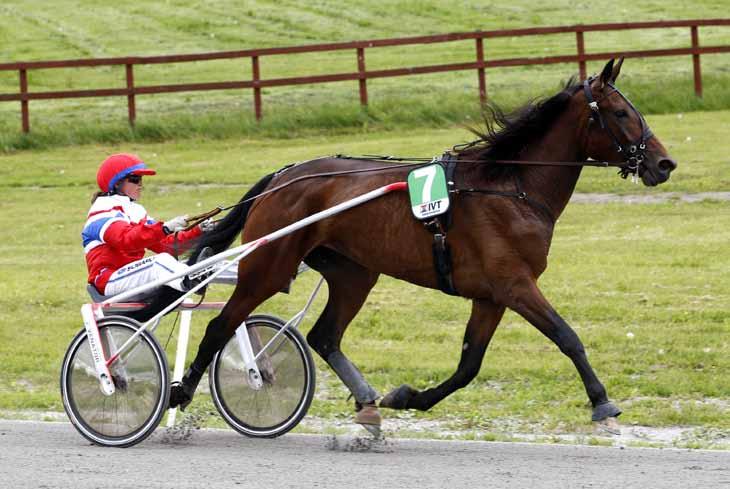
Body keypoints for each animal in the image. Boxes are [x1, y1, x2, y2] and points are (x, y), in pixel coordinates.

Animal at [171, 59, 676, 428]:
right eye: (621, 113)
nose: (664, 163)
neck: (508, 185)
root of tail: (281, 177)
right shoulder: (515, 285)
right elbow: (567, 337)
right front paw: (602, 402)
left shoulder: (490, 296)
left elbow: (469, 365)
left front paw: (408, 397)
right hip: (268, 267)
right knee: (221, 327)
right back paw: (180, 391)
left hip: (354, 272)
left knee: (324, 336)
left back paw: (368, 401)